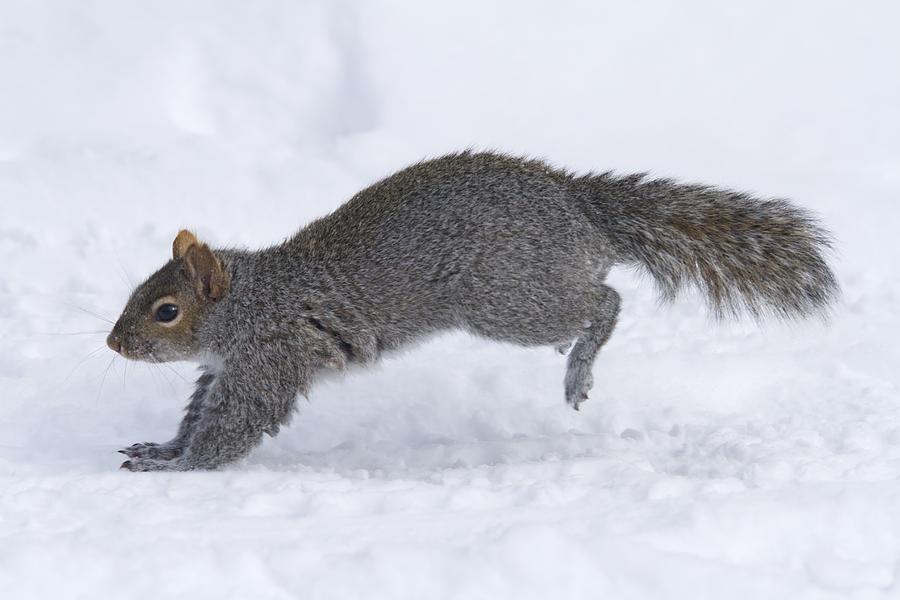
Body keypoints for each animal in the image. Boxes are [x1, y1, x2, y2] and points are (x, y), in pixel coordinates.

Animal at [108, 151, 839, 471]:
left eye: (165, 310)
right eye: (138, 292)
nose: (114, 346)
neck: (250, 300)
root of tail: (579, 205)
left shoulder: (270, 354)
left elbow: (232, 427)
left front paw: (175, 467)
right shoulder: (226, 366)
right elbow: (199, 413)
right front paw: (162, 445)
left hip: (508, 299)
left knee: (605, 299)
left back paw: (579, 365)